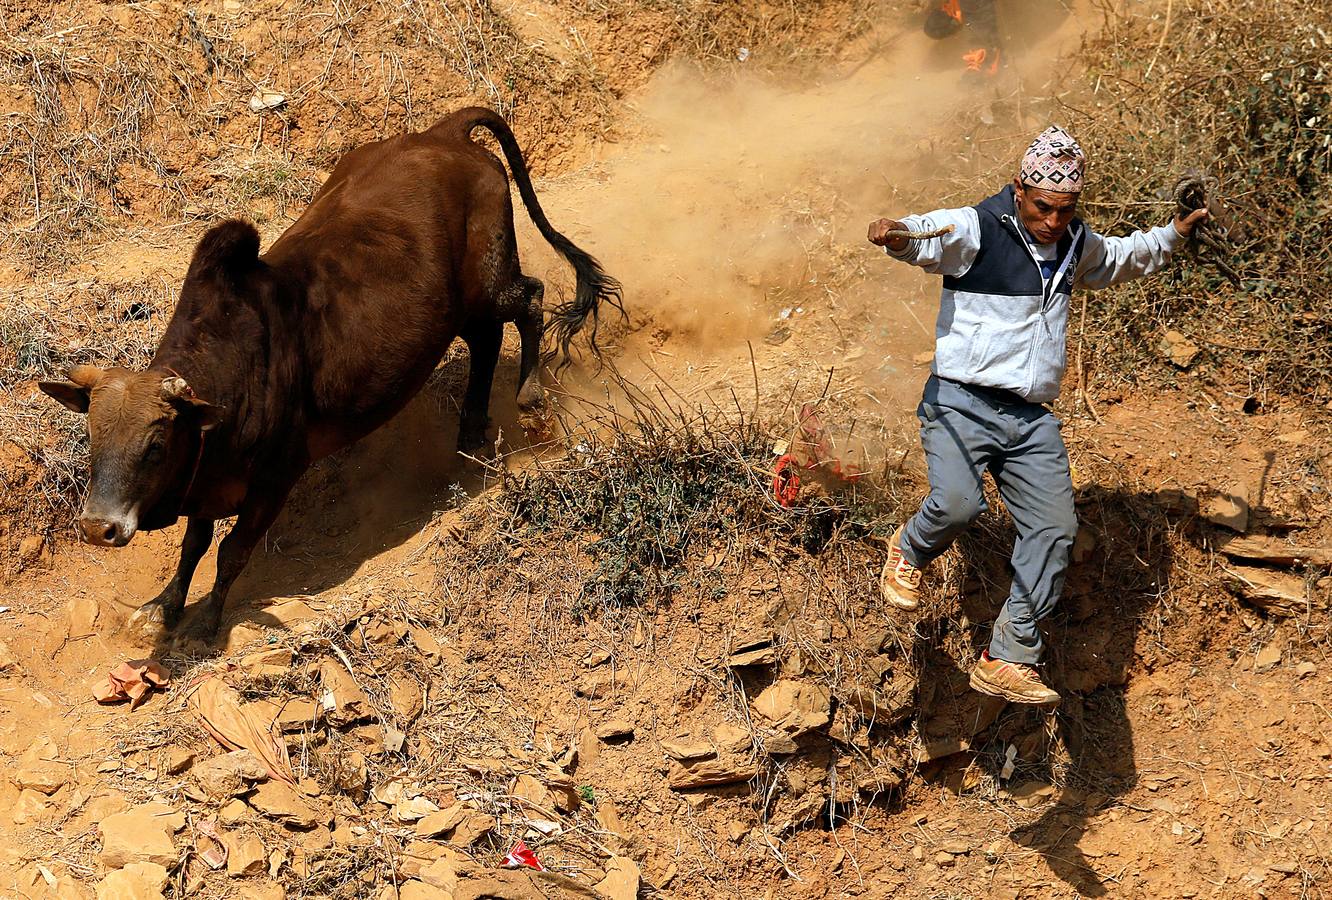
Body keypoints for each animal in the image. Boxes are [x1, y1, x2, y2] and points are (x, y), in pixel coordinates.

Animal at [41, 107, 620, 639]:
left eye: (156, 444)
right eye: (92, 437)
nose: (98, 527)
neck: (235, 369)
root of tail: (446, 132)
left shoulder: (276, 478)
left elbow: (230, 552)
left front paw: (207, 621)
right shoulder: (207, 480)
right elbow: (193, 546)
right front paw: (164, 606)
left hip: (492, 283)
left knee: (532, 303)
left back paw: (531, 404)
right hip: (464, 307)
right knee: (486, 341)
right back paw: (472, 433)